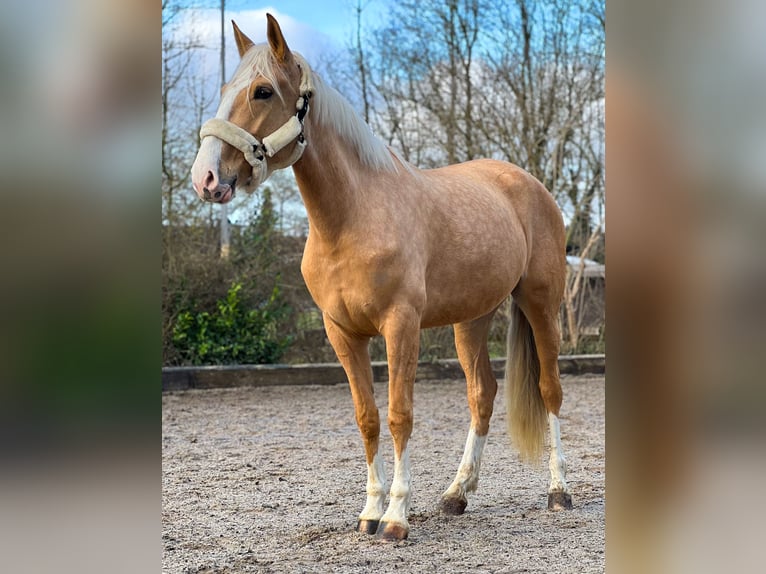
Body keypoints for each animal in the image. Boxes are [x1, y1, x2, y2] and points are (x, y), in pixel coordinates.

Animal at [191, 14, 572, 544]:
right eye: (226, 88)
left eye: (262, 91)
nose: (205, 178)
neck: (353, 218)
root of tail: (528, 184)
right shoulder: (342, 334)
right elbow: (367, 418)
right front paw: (370, 512)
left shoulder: (400, 327)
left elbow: (399, 416)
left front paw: (396, 517)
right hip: (471, 319)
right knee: (482, 396)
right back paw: (456, 494)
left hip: (541, 303)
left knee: (550, 389)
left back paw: (559, 491)